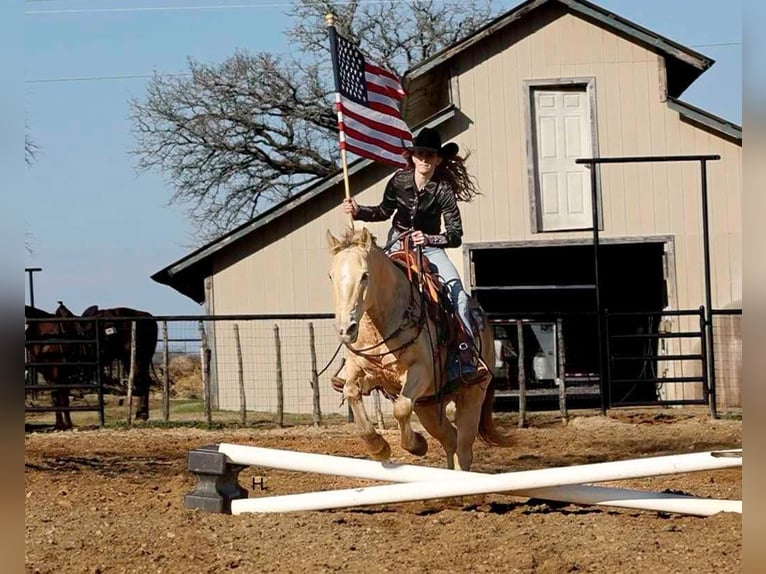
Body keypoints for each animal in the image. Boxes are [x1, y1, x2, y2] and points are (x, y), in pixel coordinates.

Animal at [328, 226, 512, 472]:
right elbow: (350, 391)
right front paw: (378, 446)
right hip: (428, 406)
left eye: (365, 275)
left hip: (471, 397)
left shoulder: (420, 372)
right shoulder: (361, 369)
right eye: (331, 276)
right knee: (450, 439)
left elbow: (401, 408)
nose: (345, 329)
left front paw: (417, 445)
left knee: (463, 449)